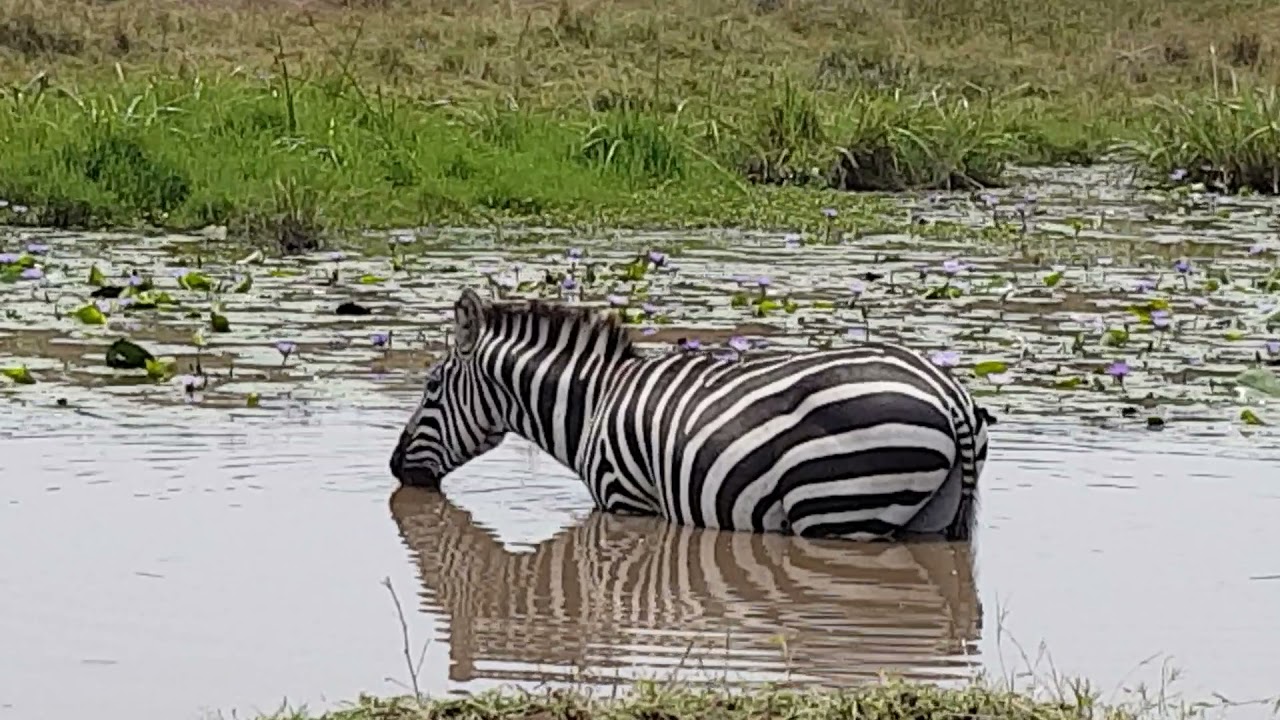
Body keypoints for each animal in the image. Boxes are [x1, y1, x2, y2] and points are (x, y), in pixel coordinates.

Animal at [389, 287, 993, 542]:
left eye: (431, 386)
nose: (395, 468)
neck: (594, 404)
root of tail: (948, 393)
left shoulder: (625, 500)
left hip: (841, 509)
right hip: (927, 517)